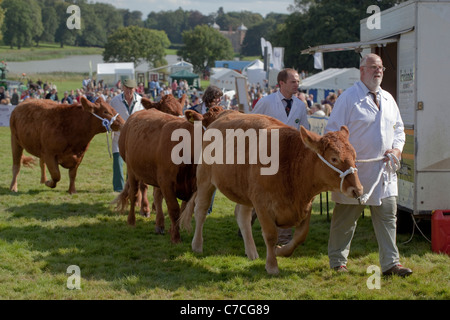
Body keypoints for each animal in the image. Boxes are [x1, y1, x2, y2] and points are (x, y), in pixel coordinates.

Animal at [113, 106, 224, 244]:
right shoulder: (166, 182)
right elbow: (174, 209)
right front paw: (175, 237)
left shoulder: (192, 186)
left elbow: (182, 210)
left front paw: (172, 230)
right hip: (132, 169)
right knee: (134, 193)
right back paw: (131, 221)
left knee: (157, 196)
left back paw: (159, 225)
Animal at [179, 111, 362, 274]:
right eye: (334, 159)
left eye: (354, 155)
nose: (358, 189)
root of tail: (222, 114)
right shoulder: (262, 205)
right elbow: (271, 235)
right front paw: (272, 266)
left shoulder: (306, 204)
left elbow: (301, 235)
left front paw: (280, 251)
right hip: (205, 178)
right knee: (201, 210)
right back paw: (197, 245)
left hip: (245, 191)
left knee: (242, 216)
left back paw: (251, 252)